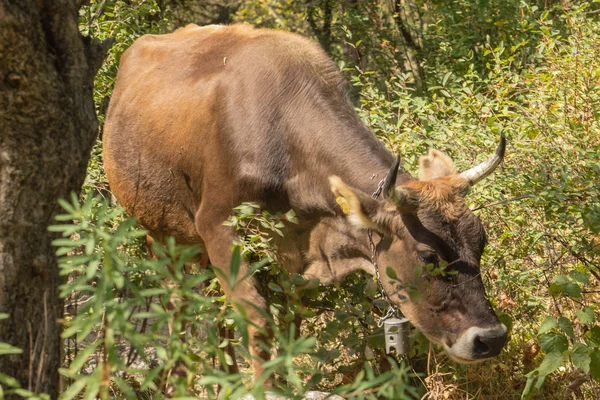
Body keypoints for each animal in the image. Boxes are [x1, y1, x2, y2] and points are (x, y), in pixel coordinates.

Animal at [103, 24, 506, 376]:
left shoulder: (296, 258)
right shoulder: (219, 228)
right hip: (159, 232)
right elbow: (258, 322)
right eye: (427, 256)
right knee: (177, 305)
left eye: (482, 241)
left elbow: (291, 328)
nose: (491, 338)